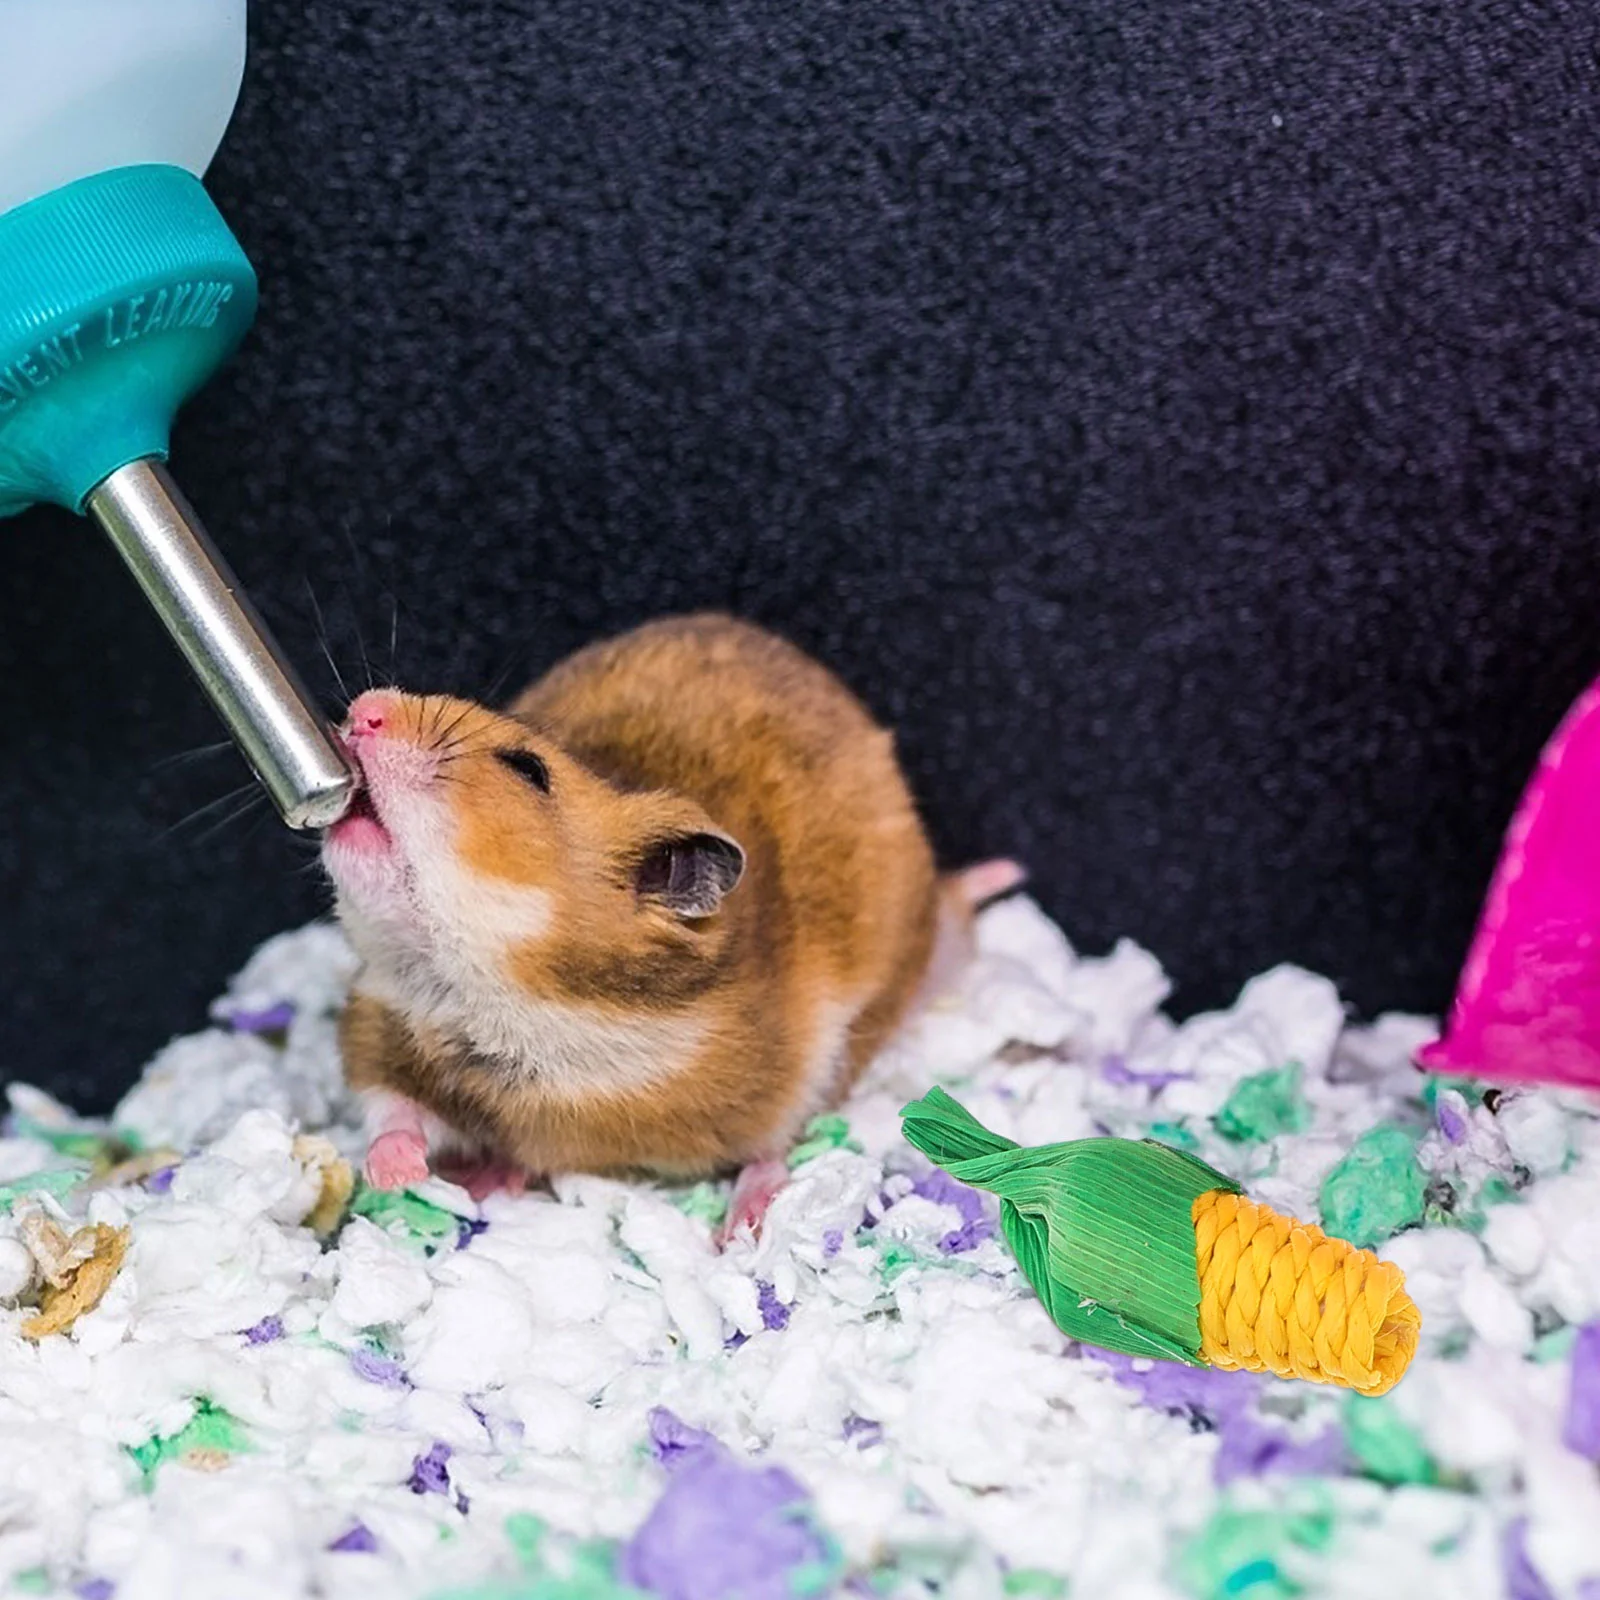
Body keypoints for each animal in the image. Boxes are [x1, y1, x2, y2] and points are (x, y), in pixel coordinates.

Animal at [321, 613, 1022, 1234]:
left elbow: (774, 1139)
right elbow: (392, 1108)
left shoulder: (793, 1067)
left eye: (528, 768)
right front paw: (396, 1175)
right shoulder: (378, 1026)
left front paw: (744, 1230)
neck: (505, 994)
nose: (364, 712)